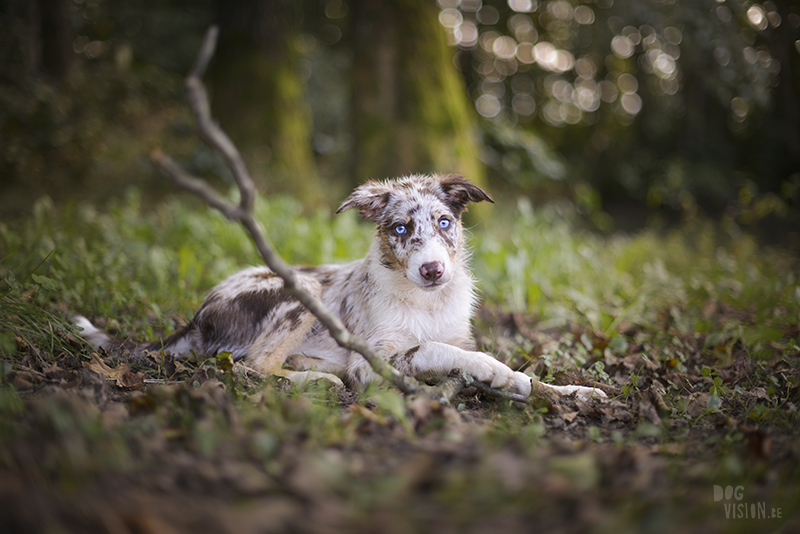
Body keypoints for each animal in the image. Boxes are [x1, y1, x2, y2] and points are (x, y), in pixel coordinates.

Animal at [78, 175, 608, 402]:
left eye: (444, 222)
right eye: (399, 229)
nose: (433, 270)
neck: (427, 302)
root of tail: (197, 315)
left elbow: (526, 379)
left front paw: (573, 390)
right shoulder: (375, 361)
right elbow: (439, 350)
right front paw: (492, 369)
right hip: (303, 289)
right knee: (251, 367)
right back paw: (317, 381)